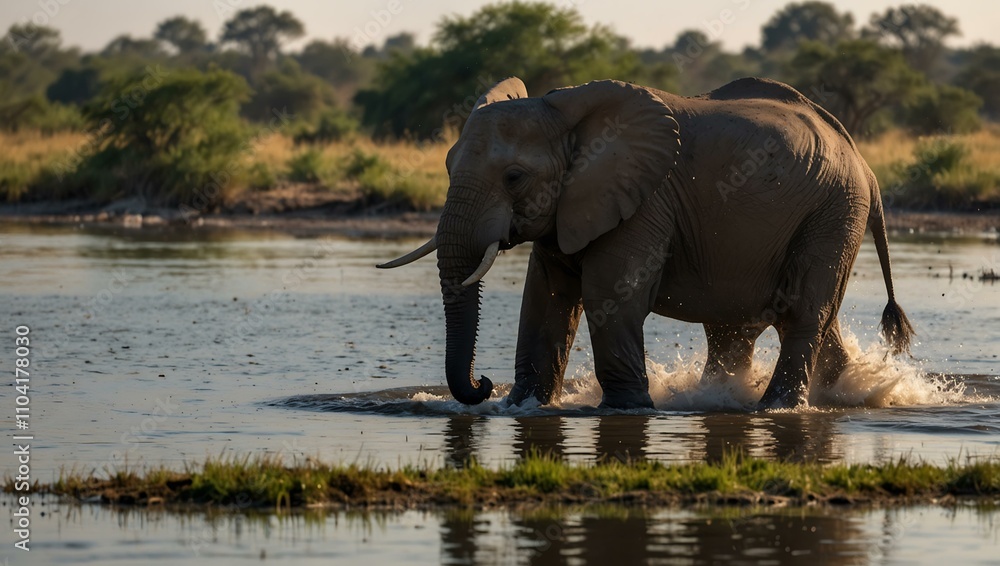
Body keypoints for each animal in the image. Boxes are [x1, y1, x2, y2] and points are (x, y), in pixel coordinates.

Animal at [378, 76, 914, 410]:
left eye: (514, 177)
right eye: (447, 165)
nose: (482, 383)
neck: (566, 113)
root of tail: (864, 163)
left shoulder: (644, 199)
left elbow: (608, 295)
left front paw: (627, 409)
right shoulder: (571, 205)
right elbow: (545, 299)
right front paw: (523, 405)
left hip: (834, 213)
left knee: (802, 313)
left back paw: (774, 409)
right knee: (749, 327)